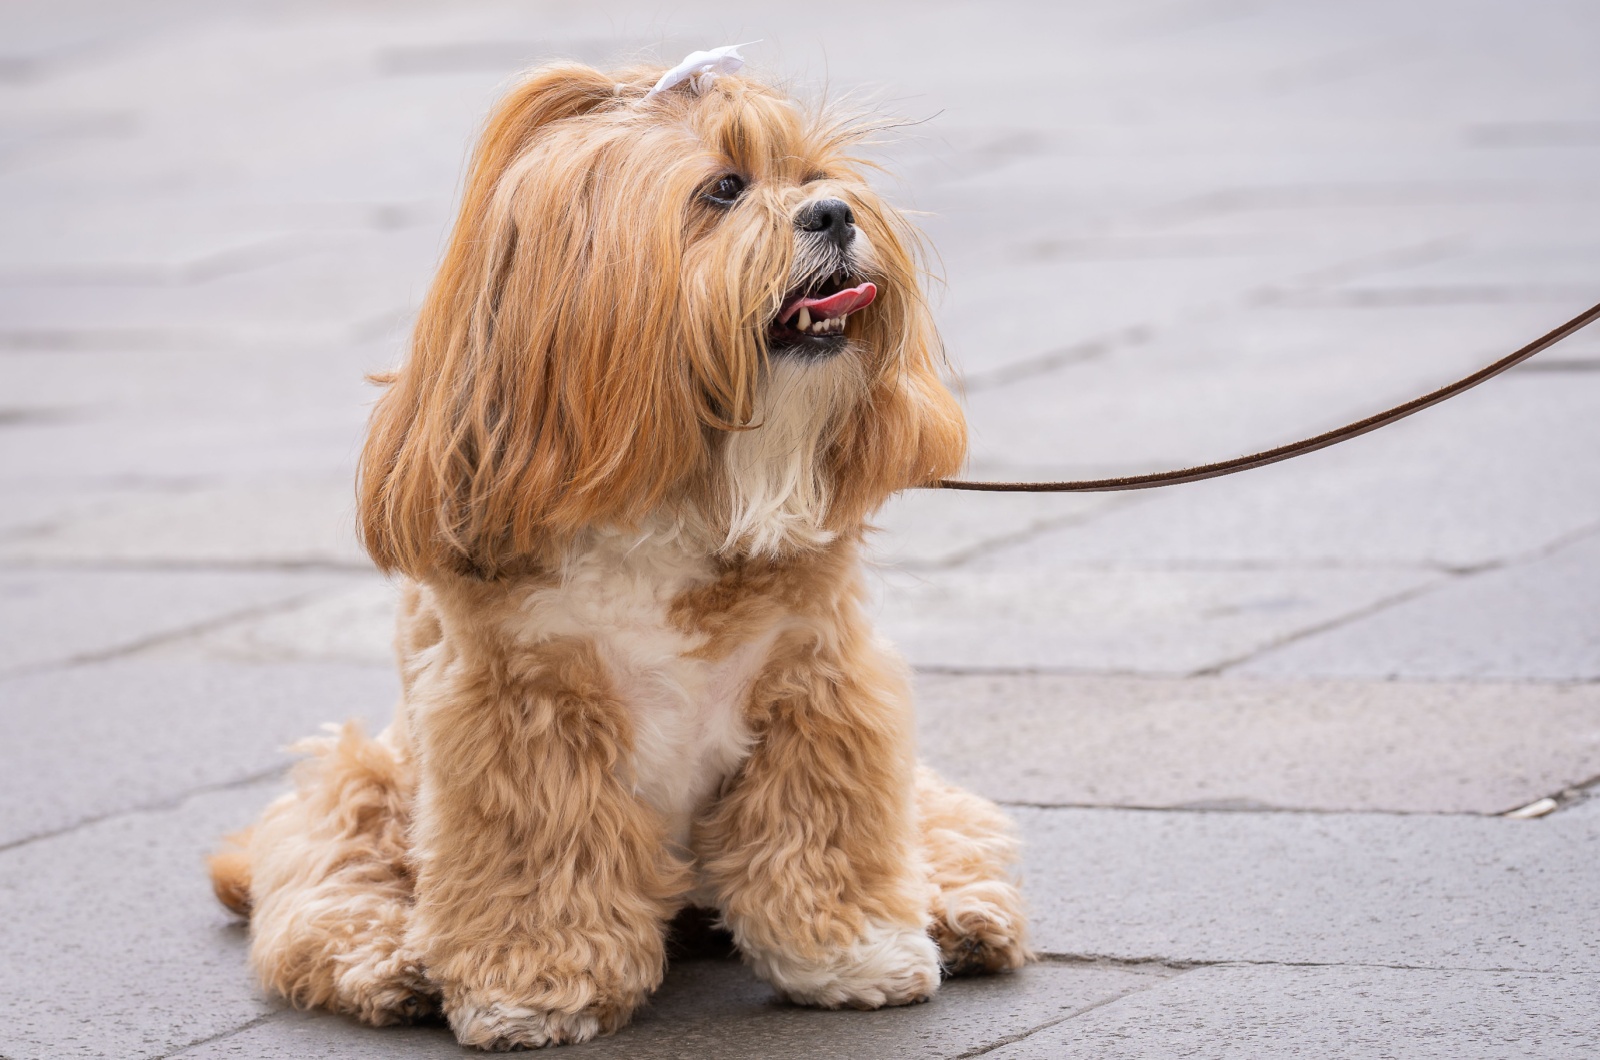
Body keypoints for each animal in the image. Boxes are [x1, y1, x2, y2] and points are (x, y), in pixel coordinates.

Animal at [209, 54, 1024, 1050]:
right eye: (724, 188)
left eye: (816, 174)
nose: (834, 213)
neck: (674, 498)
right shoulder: (521, 724)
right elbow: (539, 873)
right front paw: (533, 991)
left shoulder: (820, 689)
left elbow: (822, 834)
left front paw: (855, 953)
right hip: (359, 789)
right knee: (327, 902)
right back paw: (396, 966)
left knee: (945, 831)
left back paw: (958, 913)